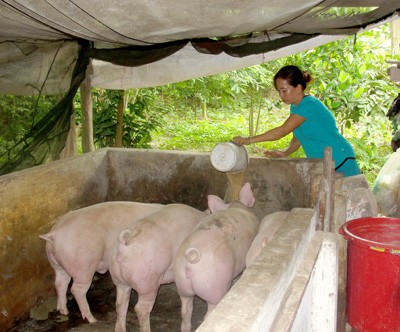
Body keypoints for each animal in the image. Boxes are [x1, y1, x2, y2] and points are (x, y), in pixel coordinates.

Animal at [172, 182, 260, 332]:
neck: (237, 206)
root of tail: (190, 261)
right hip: (215, 285)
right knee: (208, 313)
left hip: (182, 286)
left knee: (185, 311)